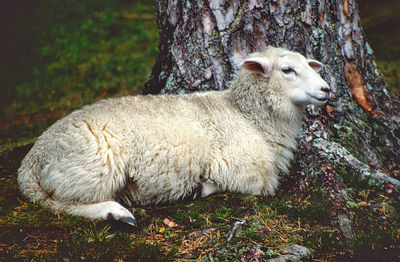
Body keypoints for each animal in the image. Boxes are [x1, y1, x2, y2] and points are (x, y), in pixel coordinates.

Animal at [18, 46, 332, 225]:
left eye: (308, 65)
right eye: (287, 70)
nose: (327, 89)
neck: (247, 115)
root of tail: (30, 163)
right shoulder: (244, 170)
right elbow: (254, 187)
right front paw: (201, 188)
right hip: (94, 166)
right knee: (65, 203)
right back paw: (116, 213)